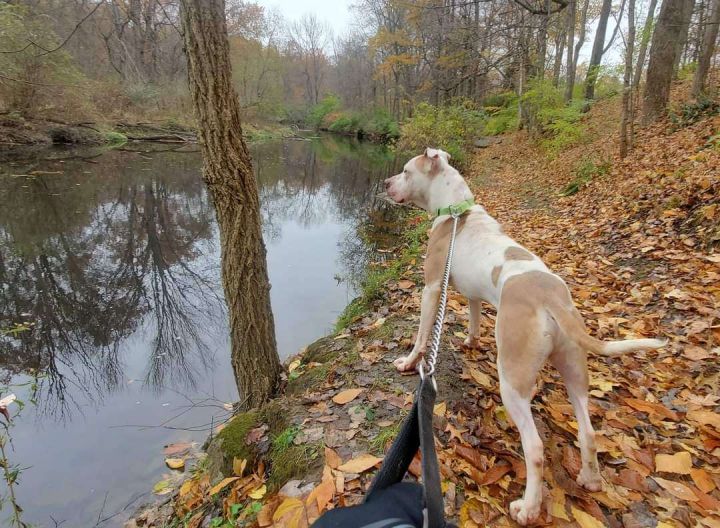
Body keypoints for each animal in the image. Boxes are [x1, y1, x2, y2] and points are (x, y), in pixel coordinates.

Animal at [386, 147, 668, 524]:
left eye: (405, 171)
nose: (386, 183)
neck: (456, 212)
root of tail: (550, 298)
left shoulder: (432, 288)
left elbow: (421, 334)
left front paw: (408, 361)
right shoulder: (473, 294)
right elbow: (474, 315)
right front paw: (471, 341)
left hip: (514, 381)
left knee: (534, 448)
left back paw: (528, 508)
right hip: (574, 369)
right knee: (588, 431)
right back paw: (590, 479)